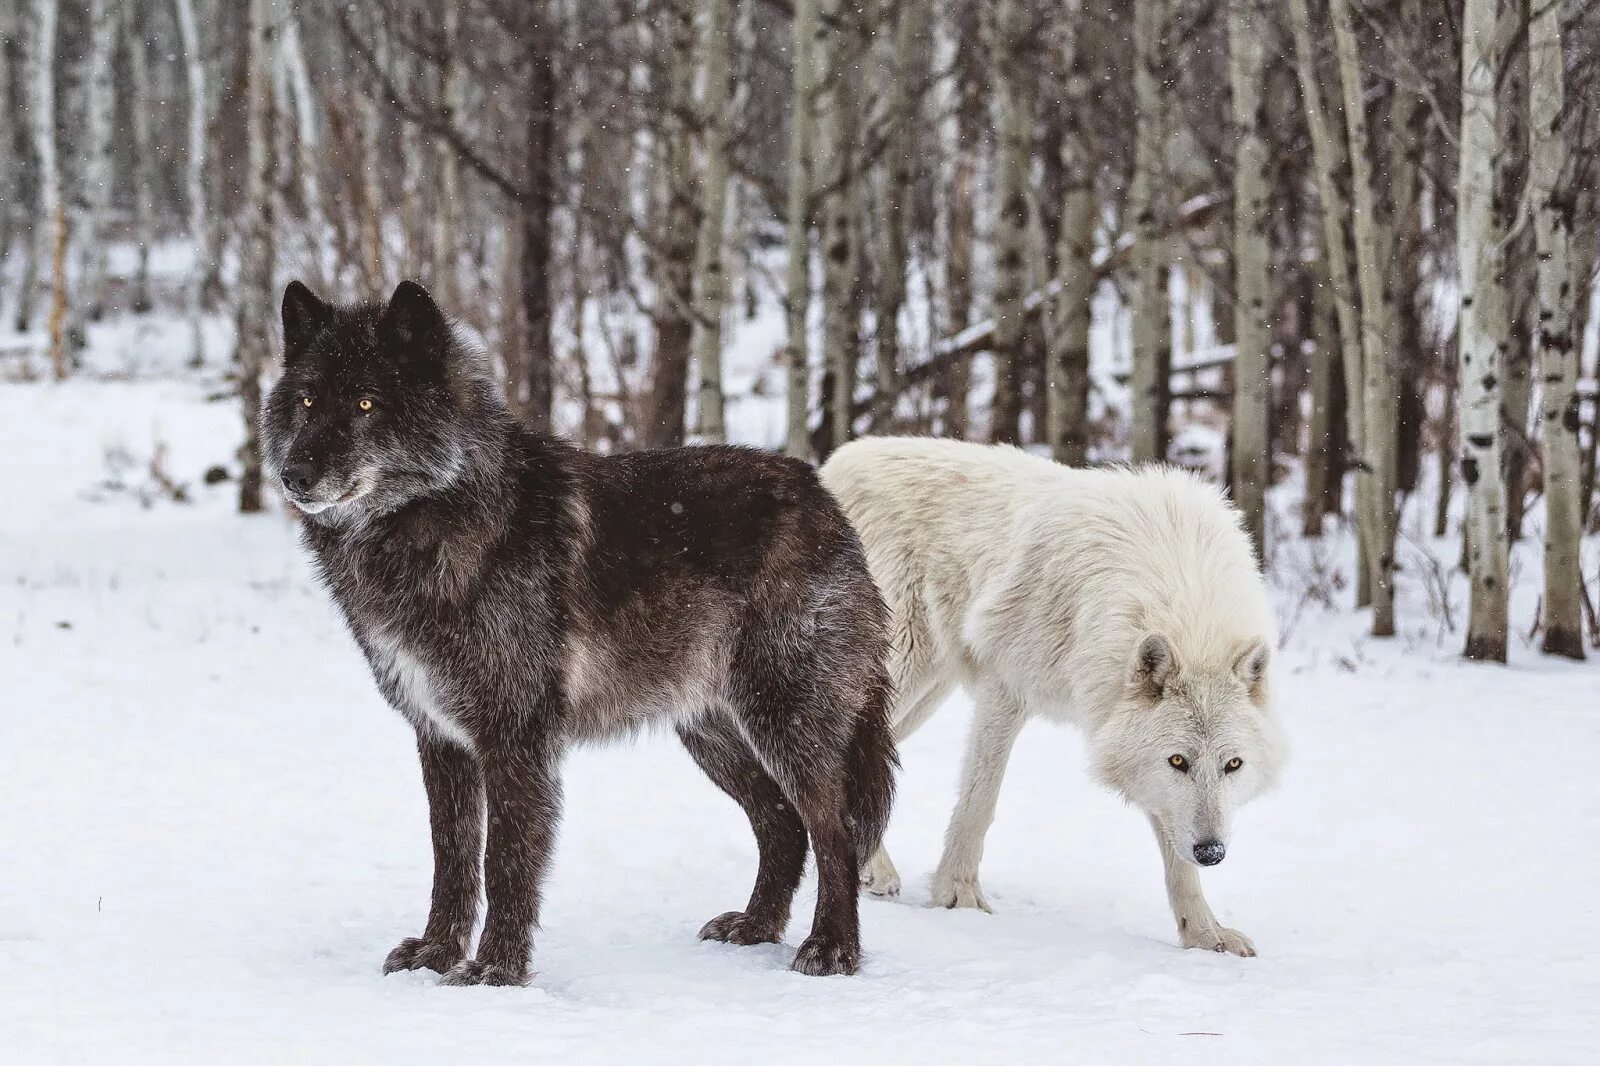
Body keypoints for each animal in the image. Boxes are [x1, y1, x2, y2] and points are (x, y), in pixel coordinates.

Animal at [256, 280, 896, 979]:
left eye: (367, 403)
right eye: (308, 400)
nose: (294, 475)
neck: (429, 520)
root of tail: (820, 492)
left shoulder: (514, 736)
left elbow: (504, 862)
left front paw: (496, 970)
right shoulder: (441, 737)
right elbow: (451, 860)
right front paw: (436, 954)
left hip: (782, 720)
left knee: (834, 830)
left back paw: (831, 948)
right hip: (712, 733)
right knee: (782, 824)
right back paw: (755, 927)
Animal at [825, 435, 1286, 947]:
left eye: (1233, 765)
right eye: (1178, 761)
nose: (1212, 852)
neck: (1181, 594)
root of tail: (837, 461)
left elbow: (1176, 859)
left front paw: (1205, 935)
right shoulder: (1005, 688)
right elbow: (978, 804)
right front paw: (958, 897)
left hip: (925, 691)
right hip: (902, 669)